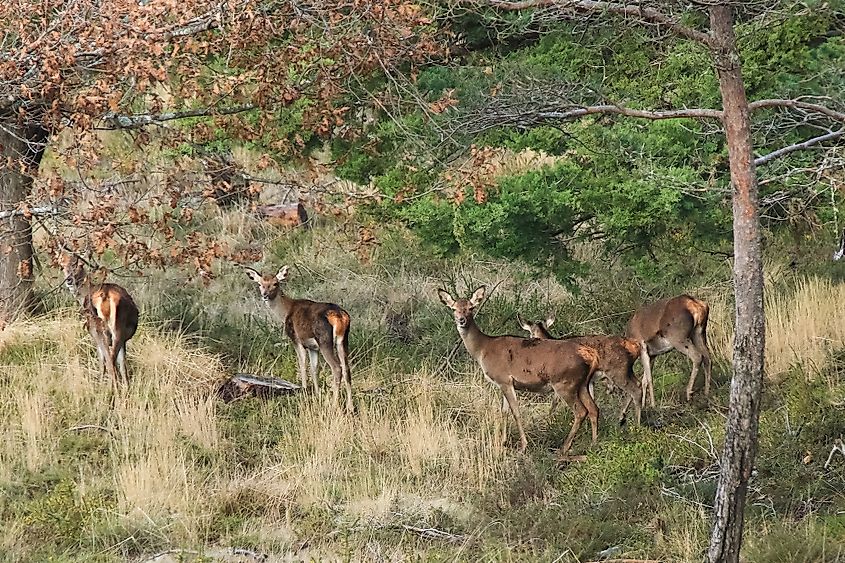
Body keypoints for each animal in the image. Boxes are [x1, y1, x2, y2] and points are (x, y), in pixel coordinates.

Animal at [59, 252, 139, 392]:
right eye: (62, 266)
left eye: (79, 264)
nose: (69, 280)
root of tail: (106, 295)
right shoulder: (125, 340)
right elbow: (123, 365)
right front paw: (127, 389)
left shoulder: (94, 335)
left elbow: (102, 361)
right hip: (118, 331)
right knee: (114, 361)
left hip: (99, 329)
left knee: (109, 361)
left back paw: (109, 390)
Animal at [244, 264, 352, 414]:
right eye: (260, 284)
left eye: (275, 283)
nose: (264, 295)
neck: (286, 311)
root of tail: (340, 316)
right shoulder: (313, 347)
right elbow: (314, 368)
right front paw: (317, 395)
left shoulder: (296, 339)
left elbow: (302, 365)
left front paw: (305, 391)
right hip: (343, 340)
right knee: (347, 368)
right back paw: (350, 407)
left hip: (324, 340)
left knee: (337, 367)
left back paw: (334, 405)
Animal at [436, 288, 600, 456]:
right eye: (454, 308)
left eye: (471, 308)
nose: (461, 320)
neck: (482, 350)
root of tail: (591, 356)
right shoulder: (502, 383)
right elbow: (504, 411)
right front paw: (503, 442)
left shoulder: (504, 379)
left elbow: (516, 411)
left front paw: (523, 446)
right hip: (582, 384)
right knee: (593, 408)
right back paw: (593, 443)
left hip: (565, 383)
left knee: (581, 411)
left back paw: (565, 447)